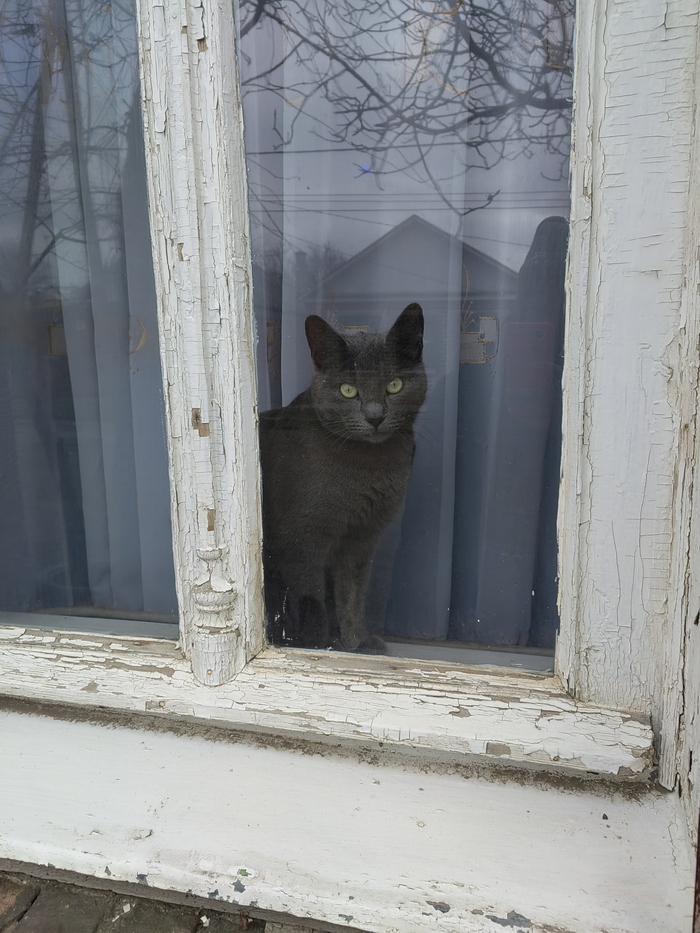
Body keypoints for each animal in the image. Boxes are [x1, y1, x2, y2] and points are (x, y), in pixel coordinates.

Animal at [259, 302, 427, 652]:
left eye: (394, 385)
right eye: (348, 390)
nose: (375, 416)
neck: (369, 470)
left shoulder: (361, 539)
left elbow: (351, 595)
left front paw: (357, 642)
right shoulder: (299, 541)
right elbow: (312, 599)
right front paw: (317, 646)